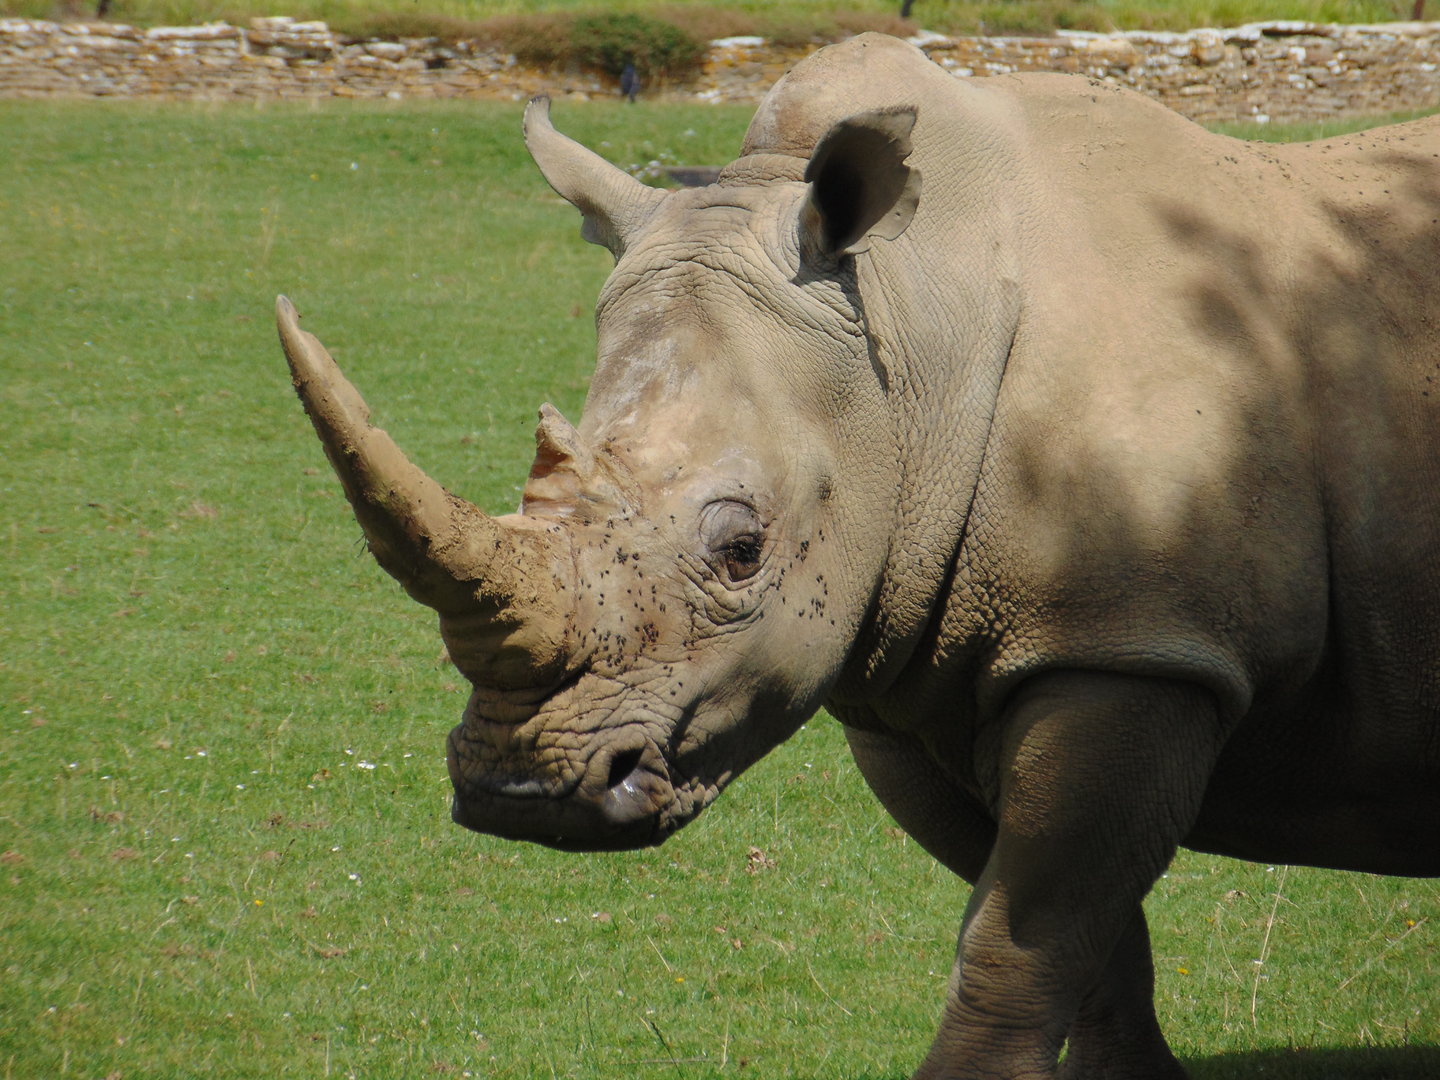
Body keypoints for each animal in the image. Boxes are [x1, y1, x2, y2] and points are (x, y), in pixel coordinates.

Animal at [278, 32, 1440, 1080]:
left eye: (741, 551)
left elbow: (1022, 940)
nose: (520, 792)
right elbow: (1082, 946)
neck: (916, 327)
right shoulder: (906, 663)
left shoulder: (1137, 644)